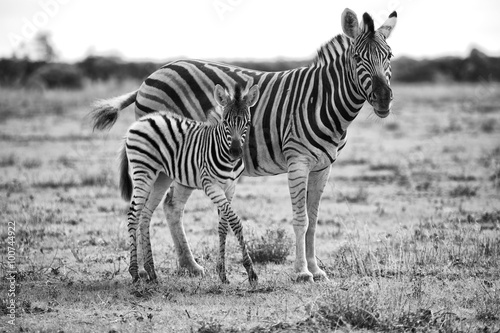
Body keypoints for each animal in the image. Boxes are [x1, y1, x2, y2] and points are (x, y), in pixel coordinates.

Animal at [120, 83, 262, 282]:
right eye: (225, 123)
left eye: (247, 124)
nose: (235, 153)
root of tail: (143, 119)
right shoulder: (211, 185)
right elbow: (235, 221)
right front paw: (250, 271)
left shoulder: (230, 187)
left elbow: (223, 226)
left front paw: (222, 273)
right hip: (143, 171)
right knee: (134, 215)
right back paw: (134, 272)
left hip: (161, 177)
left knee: (145, 214)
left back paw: (152, 271)